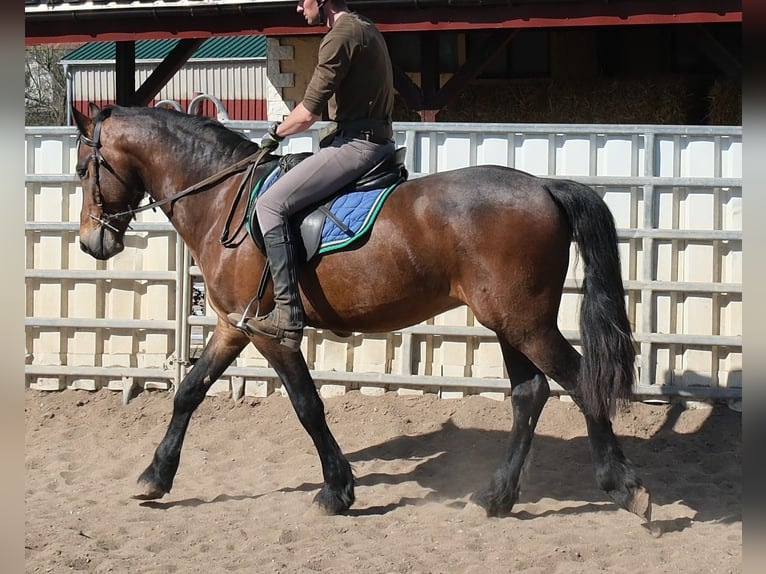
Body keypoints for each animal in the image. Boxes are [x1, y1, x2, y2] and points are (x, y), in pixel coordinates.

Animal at [72, 103, 651, 524]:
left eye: (82, 169)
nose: (90, 242)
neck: (223, 199)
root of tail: (543, 186)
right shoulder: (231, 325)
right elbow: (190, 391)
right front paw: (155, 477)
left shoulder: (270, 335)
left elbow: (307, 406)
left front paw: (337, 490)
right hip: (511, 323)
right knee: (530, 394)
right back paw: (497, 496)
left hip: (525, 324)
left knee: (581, 381)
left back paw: (625, 487)